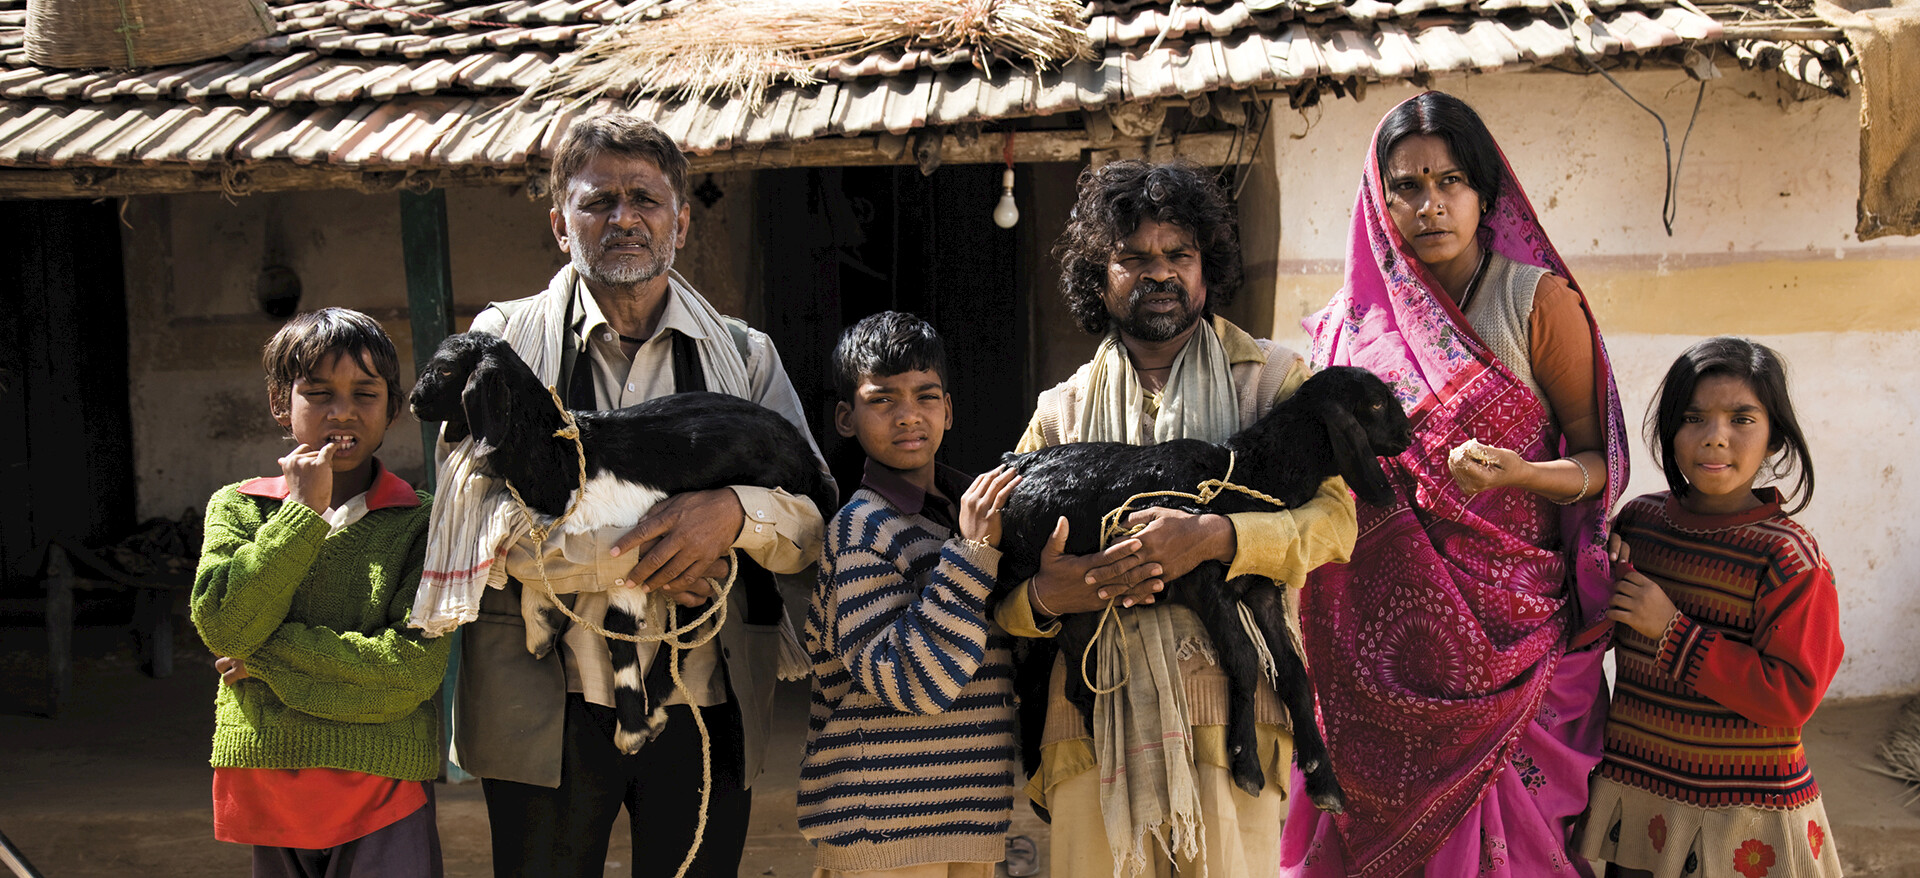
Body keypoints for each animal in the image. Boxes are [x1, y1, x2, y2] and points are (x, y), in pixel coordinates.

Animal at [409, 330, 833, 753]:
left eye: (445, 368)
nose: (413, 401)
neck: (563, 454)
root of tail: (806, 455)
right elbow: (536, 569)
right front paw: (539, 631)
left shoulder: (629, 551)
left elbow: (617, 627)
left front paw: (630, 728)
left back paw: (653, 708)